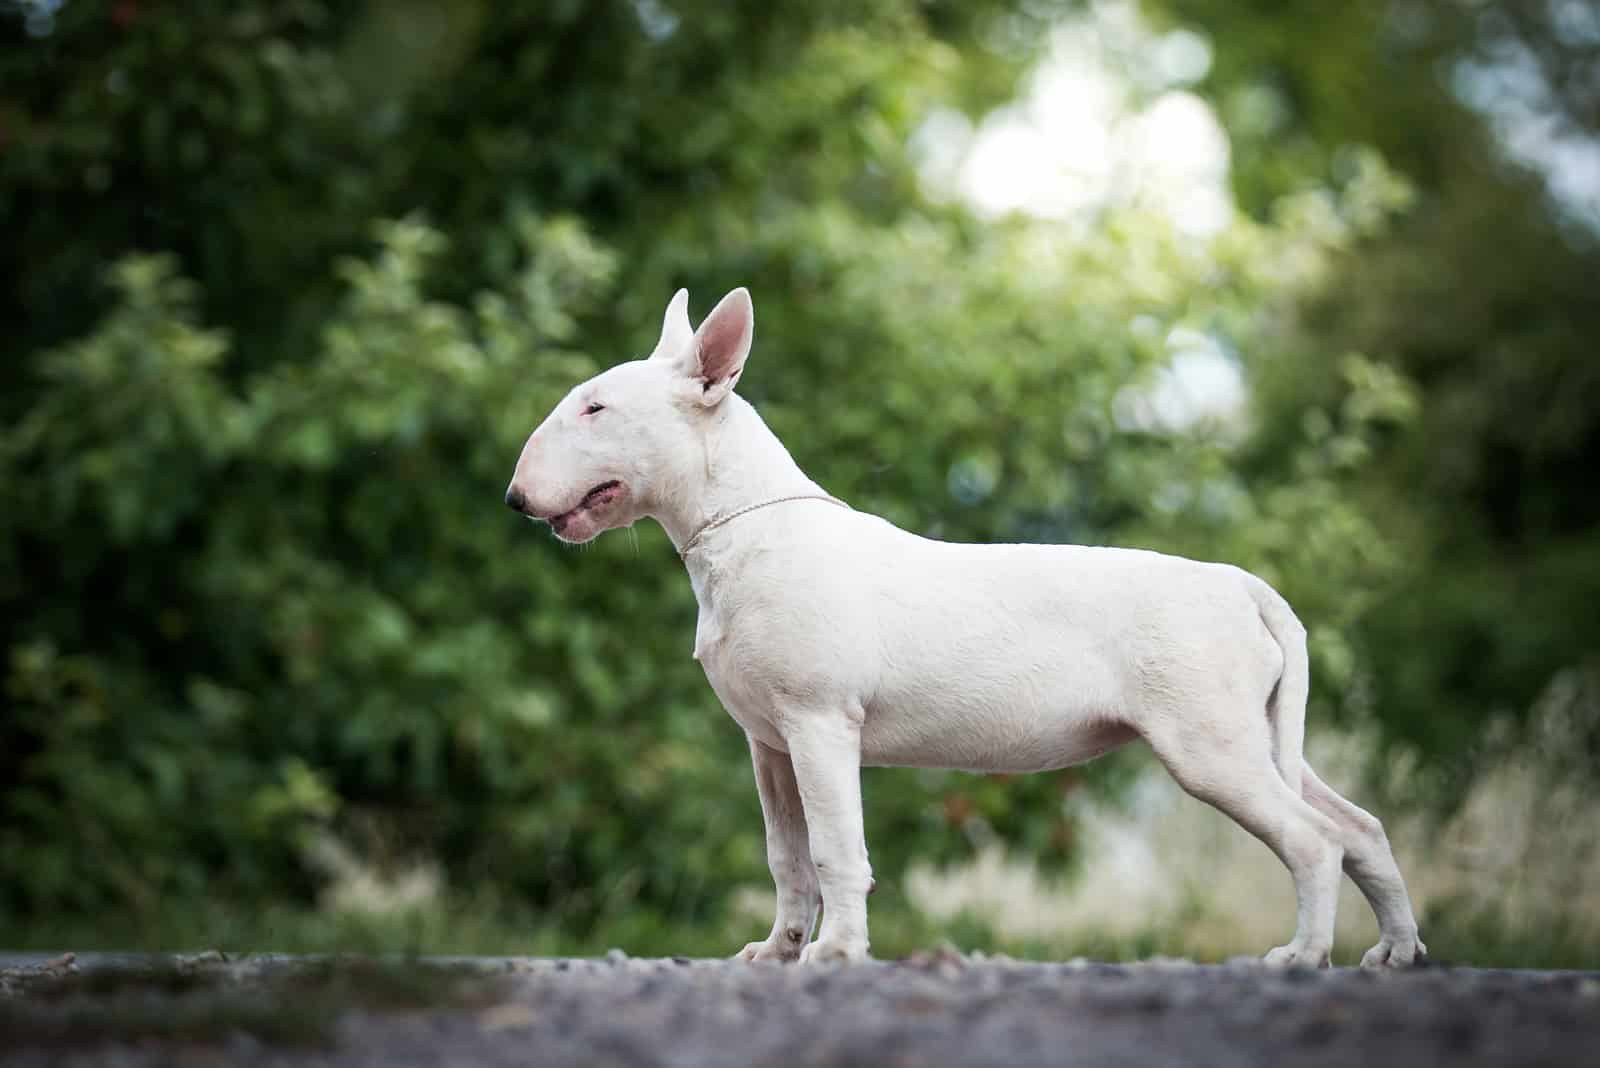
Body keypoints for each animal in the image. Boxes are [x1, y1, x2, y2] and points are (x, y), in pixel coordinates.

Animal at [502, 286, 1427, 965]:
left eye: (595, 409)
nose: (513, 498)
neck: (744, 528)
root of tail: (1242, 585)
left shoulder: (820, 723)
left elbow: (836, 849)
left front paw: (837, 954)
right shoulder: (769, 744)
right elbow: (786, 857)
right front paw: (777, 952)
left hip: (1210, 746)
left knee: (1313, 840)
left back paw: (1301, 958)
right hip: (1257, 737)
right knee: (1359, 828)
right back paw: (1394, 953)